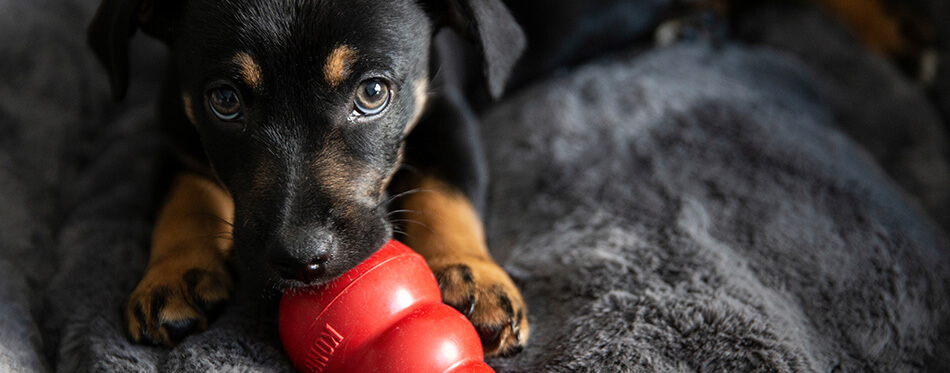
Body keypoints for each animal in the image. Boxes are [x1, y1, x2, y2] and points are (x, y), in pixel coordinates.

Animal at [87, 0, 528, 354]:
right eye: (225, 100)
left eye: (372, 92)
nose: (300, 259)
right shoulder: (175, 128)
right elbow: (183, 199)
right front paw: (172, 275)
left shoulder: (448, 114)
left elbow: (446, 194)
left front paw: (473, 275)